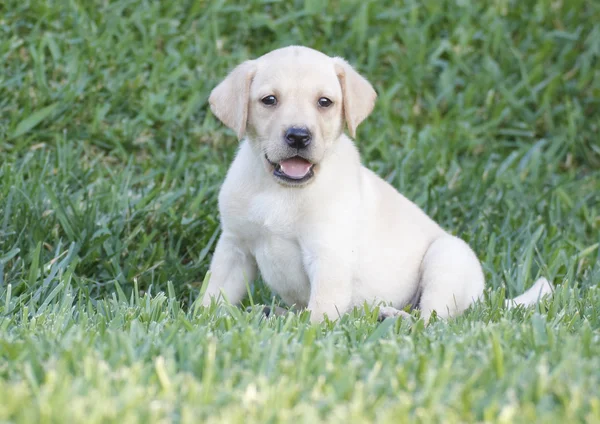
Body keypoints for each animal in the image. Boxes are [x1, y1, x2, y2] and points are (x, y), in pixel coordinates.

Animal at [202, 45, 552, 322]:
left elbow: (319, 313)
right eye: (269, 100)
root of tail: (483, 298)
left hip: (447, 258)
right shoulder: (234, 248)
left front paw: (308, 335)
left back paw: (392, 317)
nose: (299, 136)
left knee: (432, 321)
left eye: (325, 102)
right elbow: (213, 295)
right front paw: (200, 323)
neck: (283, 191)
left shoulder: (329, 257)